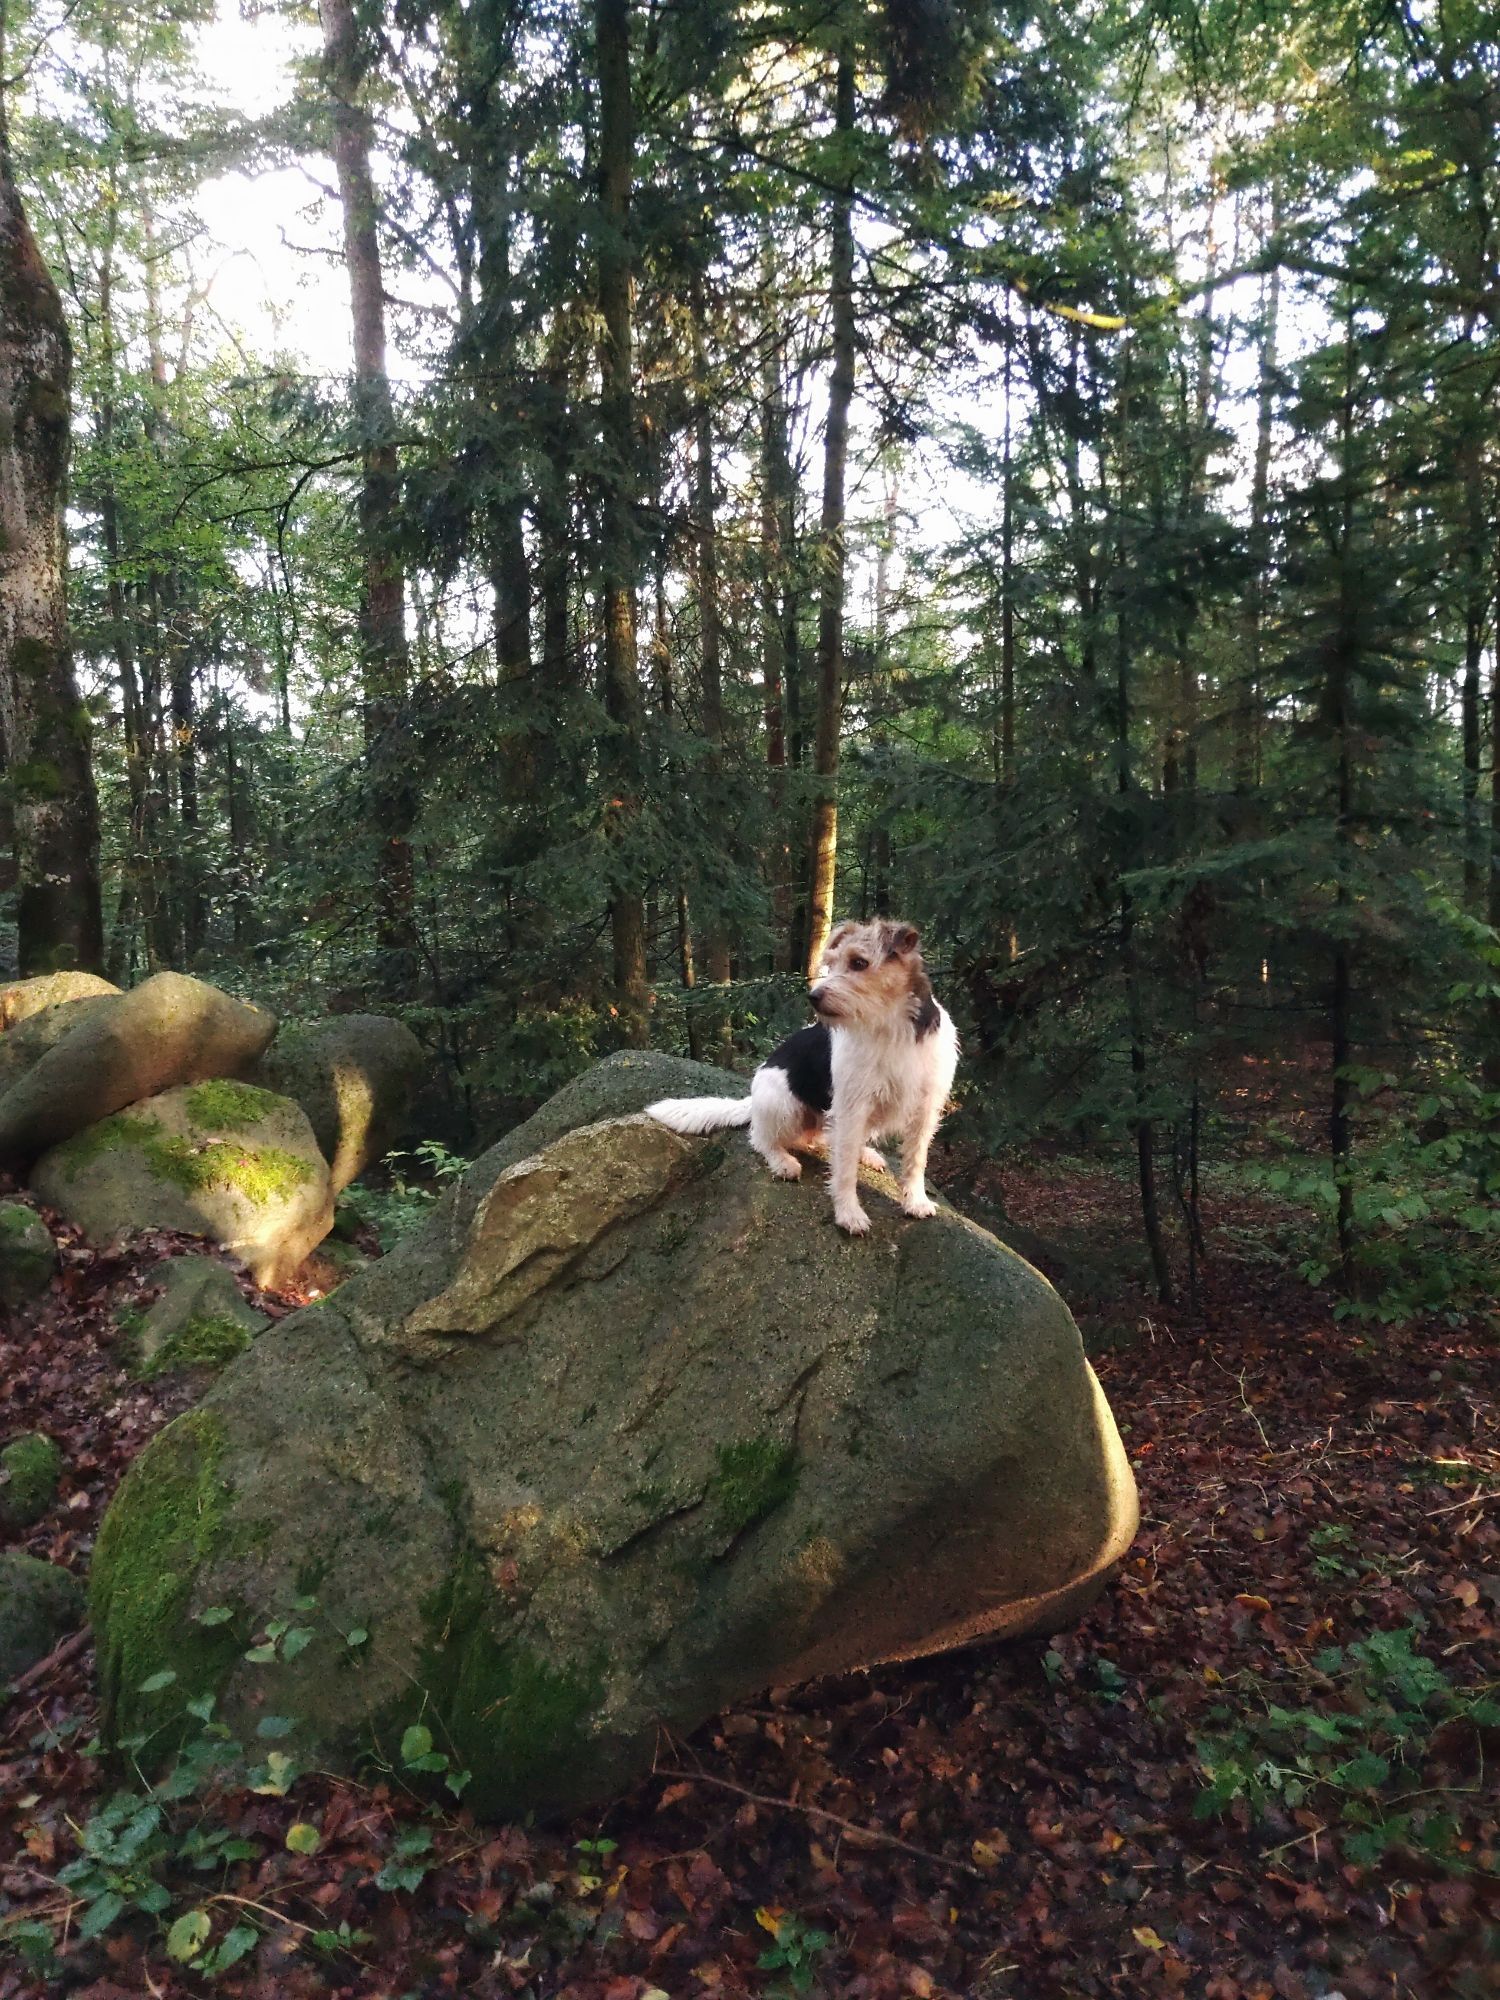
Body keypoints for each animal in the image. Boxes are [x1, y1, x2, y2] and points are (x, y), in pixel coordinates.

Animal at [648, 916, 964, 1224]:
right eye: (832, 962)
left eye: (859, 962)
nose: (813, 996)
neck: (889, 1027)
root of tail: (752, 1099)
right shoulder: (852, 1106)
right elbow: (844, 1168)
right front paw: (848, 1212)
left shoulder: (925, 1109)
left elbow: (915, 1161)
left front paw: (916, 1201)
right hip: (783, 1105)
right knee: (761, 1138)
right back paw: (783, 1161)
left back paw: (866, 1153)